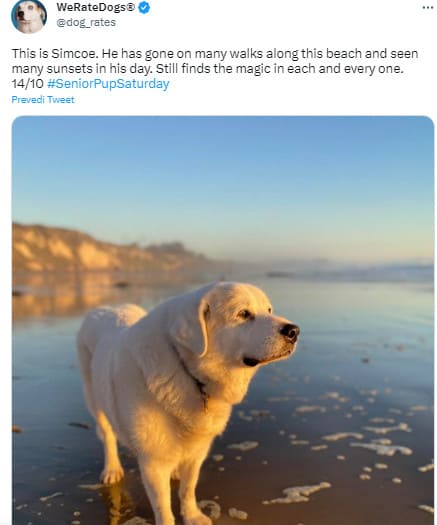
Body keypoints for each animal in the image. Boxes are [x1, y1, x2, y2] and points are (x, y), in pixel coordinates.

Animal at [76, 282, 298, 524]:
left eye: (269, 310)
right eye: (243, 314)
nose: (294, 331)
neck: (188, 372)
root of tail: (104, 308)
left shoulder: (198, 451)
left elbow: (188, 487)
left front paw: (193, 516)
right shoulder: (153, 463)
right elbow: (163, 507)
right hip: (94, 398)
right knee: (107, 434)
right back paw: (112, 469)